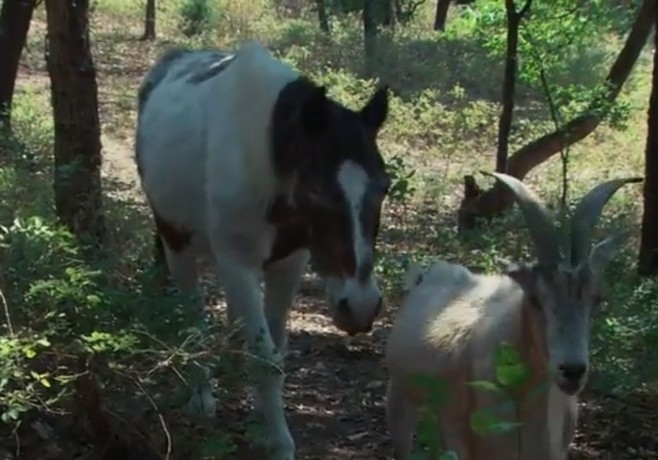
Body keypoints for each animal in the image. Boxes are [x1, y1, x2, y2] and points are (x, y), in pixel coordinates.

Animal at [134, 41, 390, 458]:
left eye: (384, 187)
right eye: (318, 191)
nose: (361, 306)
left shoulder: (288, 263)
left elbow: (275, 350)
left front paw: (263, 421)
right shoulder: (238, 262)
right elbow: (265, 357)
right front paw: (279, 443)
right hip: (177, 242)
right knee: (193, 314)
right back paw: (201, 395)